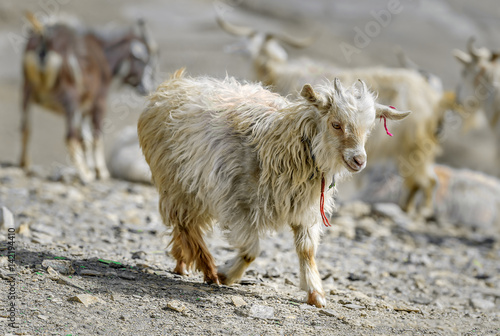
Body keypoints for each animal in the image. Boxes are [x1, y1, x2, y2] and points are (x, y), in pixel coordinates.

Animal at [20, 12, 157, 184]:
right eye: (145, 60)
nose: (148, 87)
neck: (103, 54)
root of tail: (45, 36)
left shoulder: (84, 108)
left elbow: (85, 139)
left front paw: (92, 168)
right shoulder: (98, 102)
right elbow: (96, 136)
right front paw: (101, 172)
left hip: (27, 91)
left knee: (25, 128)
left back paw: (25, 164)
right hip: (70, 100)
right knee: (70, 137)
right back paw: (84, 174)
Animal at [138, 68, 410, 308]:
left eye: (369, 128)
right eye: (335, 124)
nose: (359, 160)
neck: (280, 144)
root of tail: (174, 84)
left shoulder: (305, 208)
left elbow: (307, 250)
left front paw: (316, 293)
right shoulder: (237, 205)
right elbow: (251, 250)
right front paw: (226, 275)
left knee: (184, 226)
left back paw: (183, 263)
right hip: (177, 183)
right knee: (186, 224)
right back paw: (207, 268)